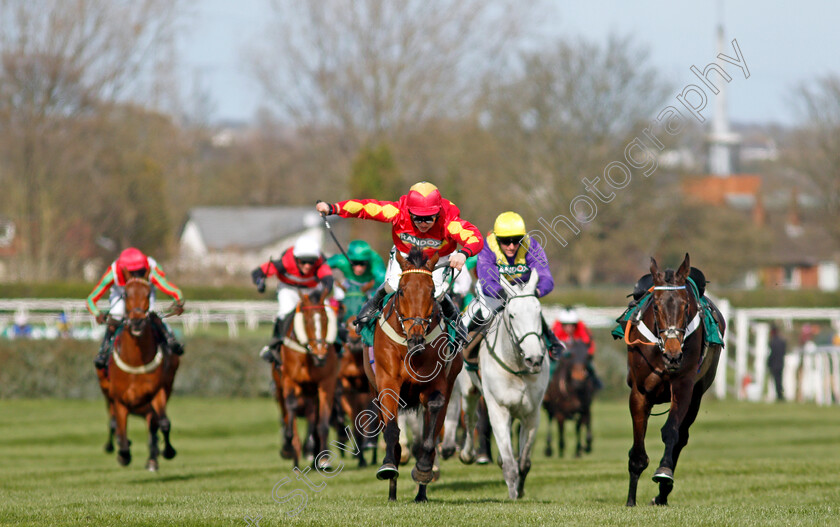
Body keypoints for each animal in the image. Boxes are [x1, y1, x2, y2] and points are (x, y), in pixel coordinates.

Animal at [97, 278, 179, 472]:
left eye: (148, 294)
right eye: (126, 294)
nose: (136, 323)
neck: (136, 361)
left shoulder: (157, 392)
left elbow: (163, 423)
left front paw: (167, 451)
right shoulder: (118, 399)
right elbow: (120, 428)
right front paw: (123, 453)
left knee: (153, 424)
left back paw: (153, 458)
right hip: (106, 391)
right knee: (113, 423)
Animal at [362, 250, 466, 506]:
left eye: (432, 291)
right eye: (402, 291)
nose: (416, 336)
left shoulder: (437, 384)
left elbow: (429, 437)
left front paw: (424, 470)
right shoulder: (388, 383)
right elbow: (392, 431)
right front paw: (388, 466)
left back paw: (421, 493)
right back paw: (392, 491)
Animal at [456, 272, 548, 500]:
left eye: (538, 312)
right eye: (513, 315)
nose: (534, 359)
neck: (517, 366)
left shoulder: (532, 413)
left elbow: (524, 462)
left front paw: (520, 489)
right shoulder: (498, 409)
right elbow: (509, 463)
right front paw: (513, 492)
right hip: (468, 391)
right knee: (470, 419)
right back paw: (467, 454)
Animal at [628, 256, 724, 508]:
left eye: (685, 305)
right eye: (656, 306)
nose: (673, 354)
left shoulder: (684, 386)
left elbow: (671, 431)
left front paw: (663, 473)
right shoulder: (640, 392)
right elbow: (637, 452)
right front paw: (630, 500)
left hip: (697, 395)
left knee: (682, 436)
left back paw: (663, 493)